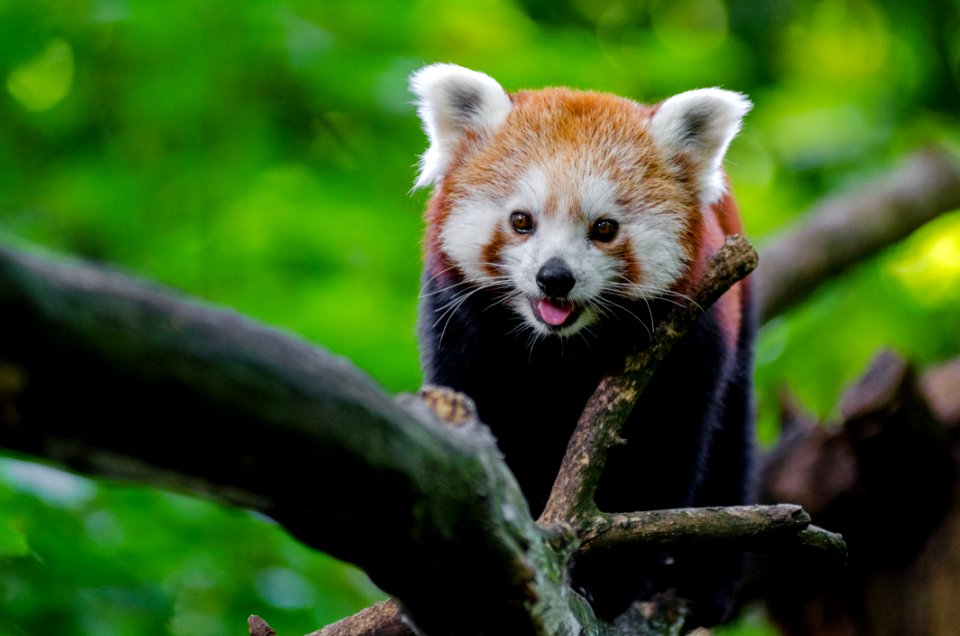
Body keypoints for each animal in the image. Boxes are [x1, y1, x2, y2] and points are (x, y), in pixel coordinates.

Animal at [408, 64, 752, 628]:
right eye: (521, 220)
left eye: (604, 228)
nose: (555, 278)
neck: (560, 350)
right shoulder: (459, 332)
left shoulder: (691, 347)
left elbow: (660, 462)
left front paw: (604, 584)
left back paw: (703, 582)